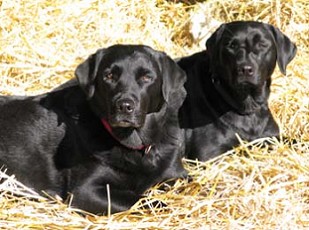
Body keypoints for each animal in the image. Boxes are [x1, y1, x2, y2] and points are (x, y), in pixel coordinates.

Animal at [0, 44, 186, 214]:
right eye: (109, 76)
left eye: (147, 77)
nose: (124, 106)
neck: (137, 144)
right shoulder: (85, 191)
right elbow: (147, 201)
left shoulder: (177, 173)